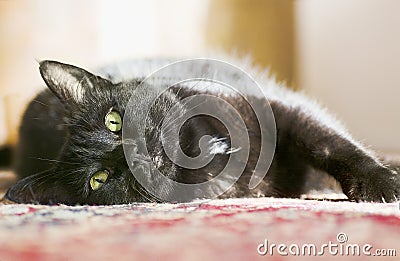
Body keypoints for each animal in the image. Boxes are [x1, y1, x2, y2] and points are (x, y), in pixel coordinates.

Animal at [5, 60, 400, 204]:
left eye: (113, 121)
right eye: (98, 180)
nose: (132, 154)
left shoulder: (285, 114)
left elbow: (331, 145)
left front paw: (383, 184)